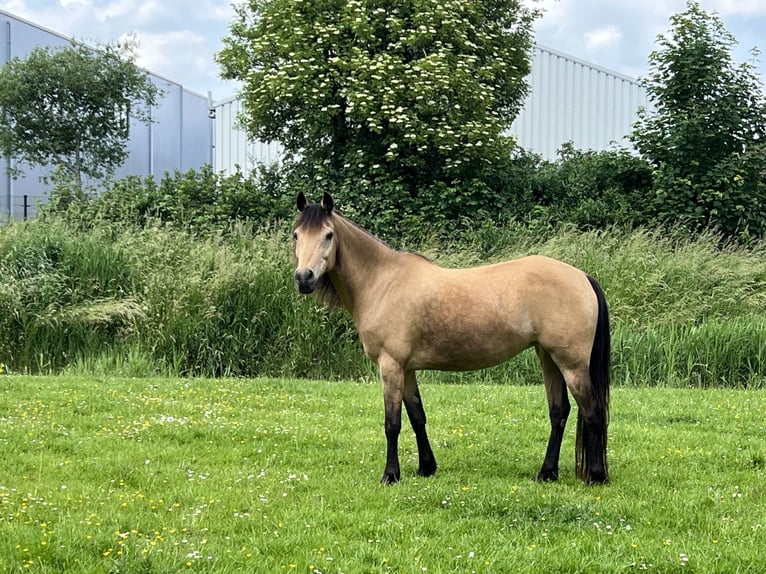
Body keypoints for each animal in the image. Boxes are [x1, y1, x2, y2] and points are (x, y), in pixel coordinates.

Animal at [292, 192, 611, 485]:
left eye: (328, 235)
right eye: (296, 235)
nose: (304, 278)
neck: (381, 282)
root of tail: (582, 277)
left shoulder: (390, 366)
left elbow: (392, 423)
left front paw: (390, 475)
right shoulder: (407, 369)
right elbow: (417, 417)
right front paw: (426, 467)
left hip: (571, 364)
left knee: (592, 411)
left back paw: (596, 476)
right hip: (548, 357)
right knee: (559, 412)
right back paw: (546, 473)